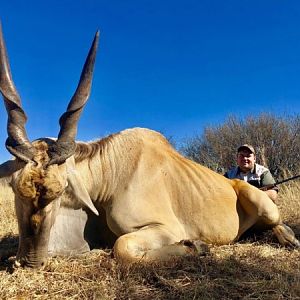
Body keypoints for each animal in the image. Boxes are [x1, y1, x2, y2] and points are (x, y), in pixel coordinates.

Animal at [0, 22, 298, 268]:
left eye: (61, 191)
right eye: (14, 187)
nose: (29, 262)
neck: (110, 175)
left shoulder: (166, 228)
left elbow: (121, 247)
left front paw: (196, 246)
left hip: (260, 201)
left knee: (276, 222)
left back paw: (288, 237)